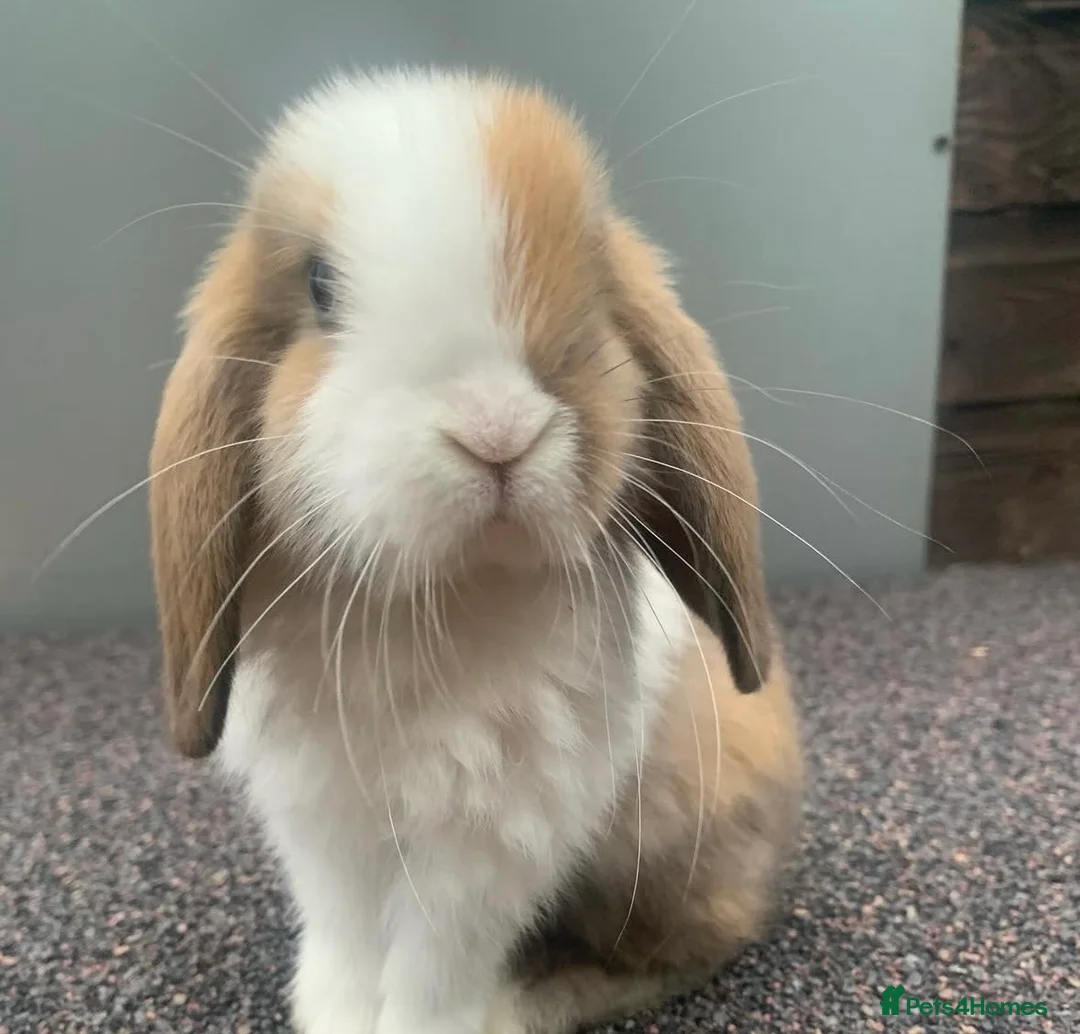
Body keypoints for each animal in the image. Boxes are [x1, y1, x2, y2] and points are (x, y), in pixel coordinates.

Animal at [148, 69, 802, 1034]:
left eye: (591, 269)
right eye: (320, 285)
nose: (497, 433)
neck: (443, 599)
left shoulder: (490, 845)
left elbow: (433, 965)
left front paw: (429, 1021)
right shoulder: (326, 830)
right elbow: (349, 942)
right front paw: (333, 1014)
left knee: (687, 944)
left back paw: (531, 1000)